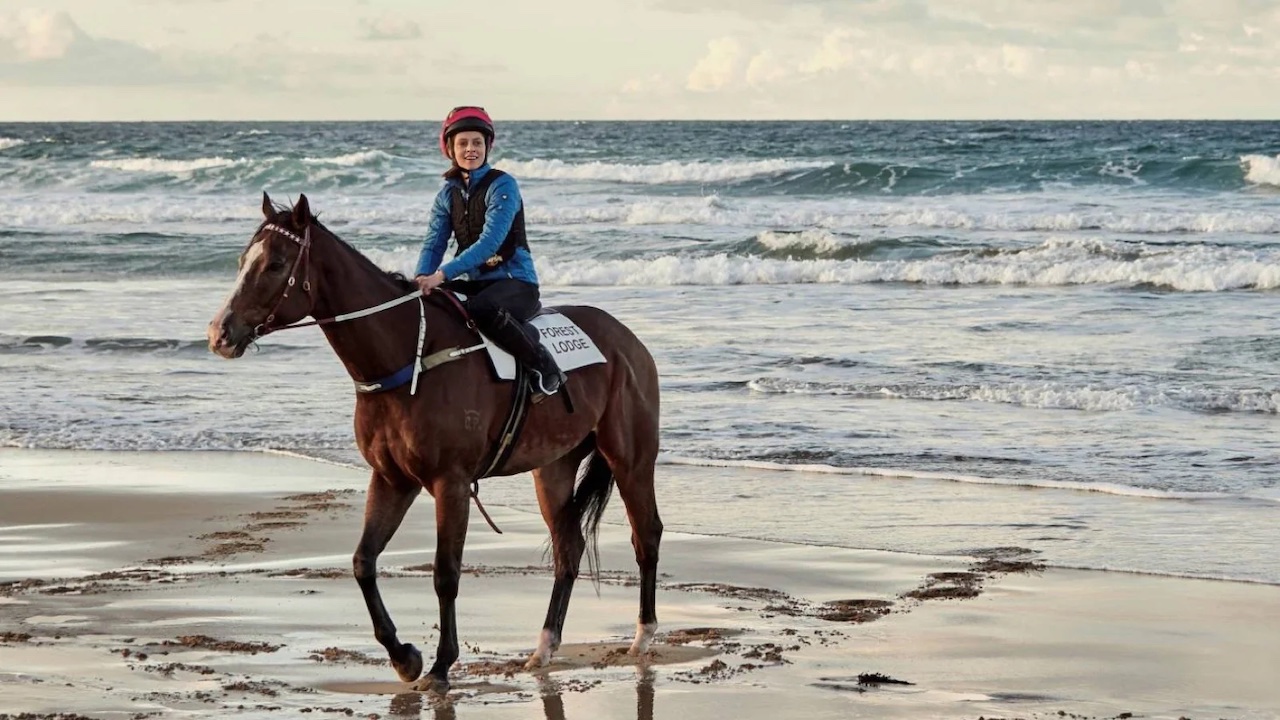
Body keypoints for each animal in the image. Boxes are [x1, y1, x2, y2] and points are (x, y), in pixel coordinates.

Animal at [204, 190, 665, 691]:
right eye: (242, 261)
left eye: (274, 264)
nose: (220, 333)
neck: (406, 356)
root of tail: (628, 339)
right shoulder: (391, 479)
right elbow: (363, 561)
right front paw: (403, 656)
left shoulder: (450, 481)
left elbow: (445, 573)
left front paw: (442, 665)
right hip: (553, 468)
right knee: (569, 549)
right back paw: (543, 647)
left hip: (630, 458)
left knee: (647, 534)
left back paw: (643, 636)